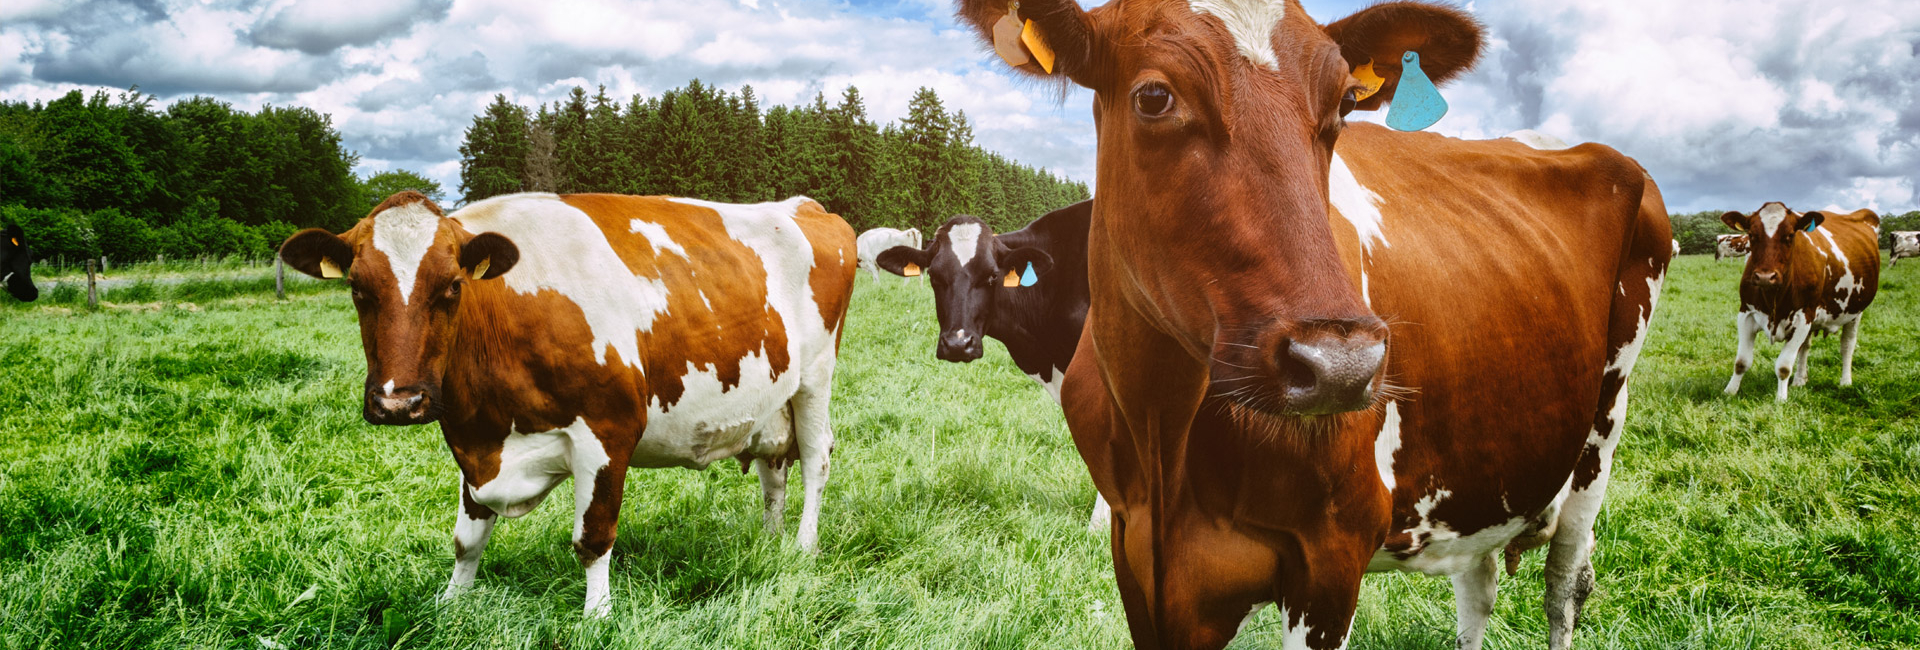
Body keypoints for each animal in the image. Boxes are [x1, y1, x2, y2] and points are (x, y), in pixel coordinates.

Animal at [277, 191, 856, 616]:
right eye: (358, 288)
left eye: (451, 286)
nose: (400, 401)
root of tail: (805, 206)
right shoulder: (473, 443)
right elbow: (467, 539)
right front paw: (452, 602)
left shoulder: (607, 431)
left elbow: (593, 537)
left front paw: (597, 615)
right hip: (771, 401)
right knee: (773, 471)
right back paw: (769, 541)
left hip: (816, 378)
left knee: (815, 459)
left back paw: (803, 546)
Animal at [952, 1, 1673, 648]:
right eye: (1154, 96)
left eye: (1345, 103)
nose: (1339, 365)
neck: (1164, 432)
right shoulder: (1139, 556)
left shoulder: (1329, 558)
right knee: (1479, 584)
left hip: (1600, 434)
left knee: (1564, 584)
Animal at [1720, 203, 1879, 401]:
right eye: (1752, 235)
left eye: (1789, 235)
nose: (1765, 277)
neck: (1774, 297)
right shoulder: (1746, 313)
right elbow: (1741, 362)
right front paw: (1729, 392)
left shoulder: (1804, 317)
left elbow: (1783, 366)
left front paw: (1781, 399)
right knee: (1805, 347)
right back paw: (1799, 380)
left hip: (1855, 312)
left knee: (1847, 345)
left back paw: (1845, 382)